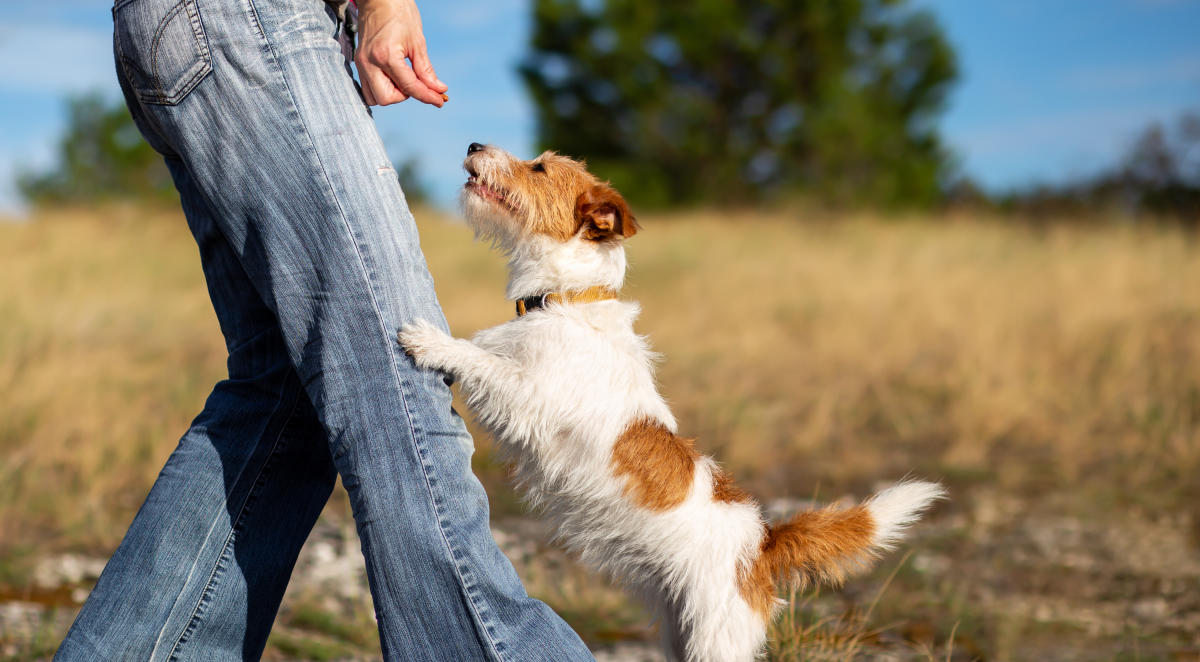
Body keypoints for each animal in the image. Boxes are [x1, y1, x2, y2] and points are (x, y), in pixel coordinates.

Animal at [403, 145, 945, 662]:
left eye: (538, 168)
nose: (474, 143)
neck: (567, 299)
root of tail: (763, 544)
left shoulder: (529, 398)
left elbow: (482, 362)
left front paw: (431, 342)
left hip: (715, 640)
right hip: (679, 630)